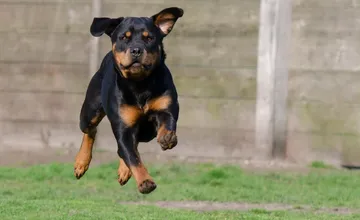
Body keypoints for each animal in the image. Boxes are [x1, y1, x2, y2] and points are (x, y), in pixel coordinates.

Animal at [74, 7, 184, 194]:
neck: (140, 84)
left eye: (149, 38)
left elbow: (167, 121)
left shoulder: (166, 106)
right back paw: (81, 163)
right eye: (123, 38)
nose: (136, 50)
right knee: (91, 131)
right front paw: (145, 182)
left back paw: (124, 171)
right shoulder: (123, 126)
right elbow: (132, 157)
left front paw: (166, 137)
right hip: (89, 112)